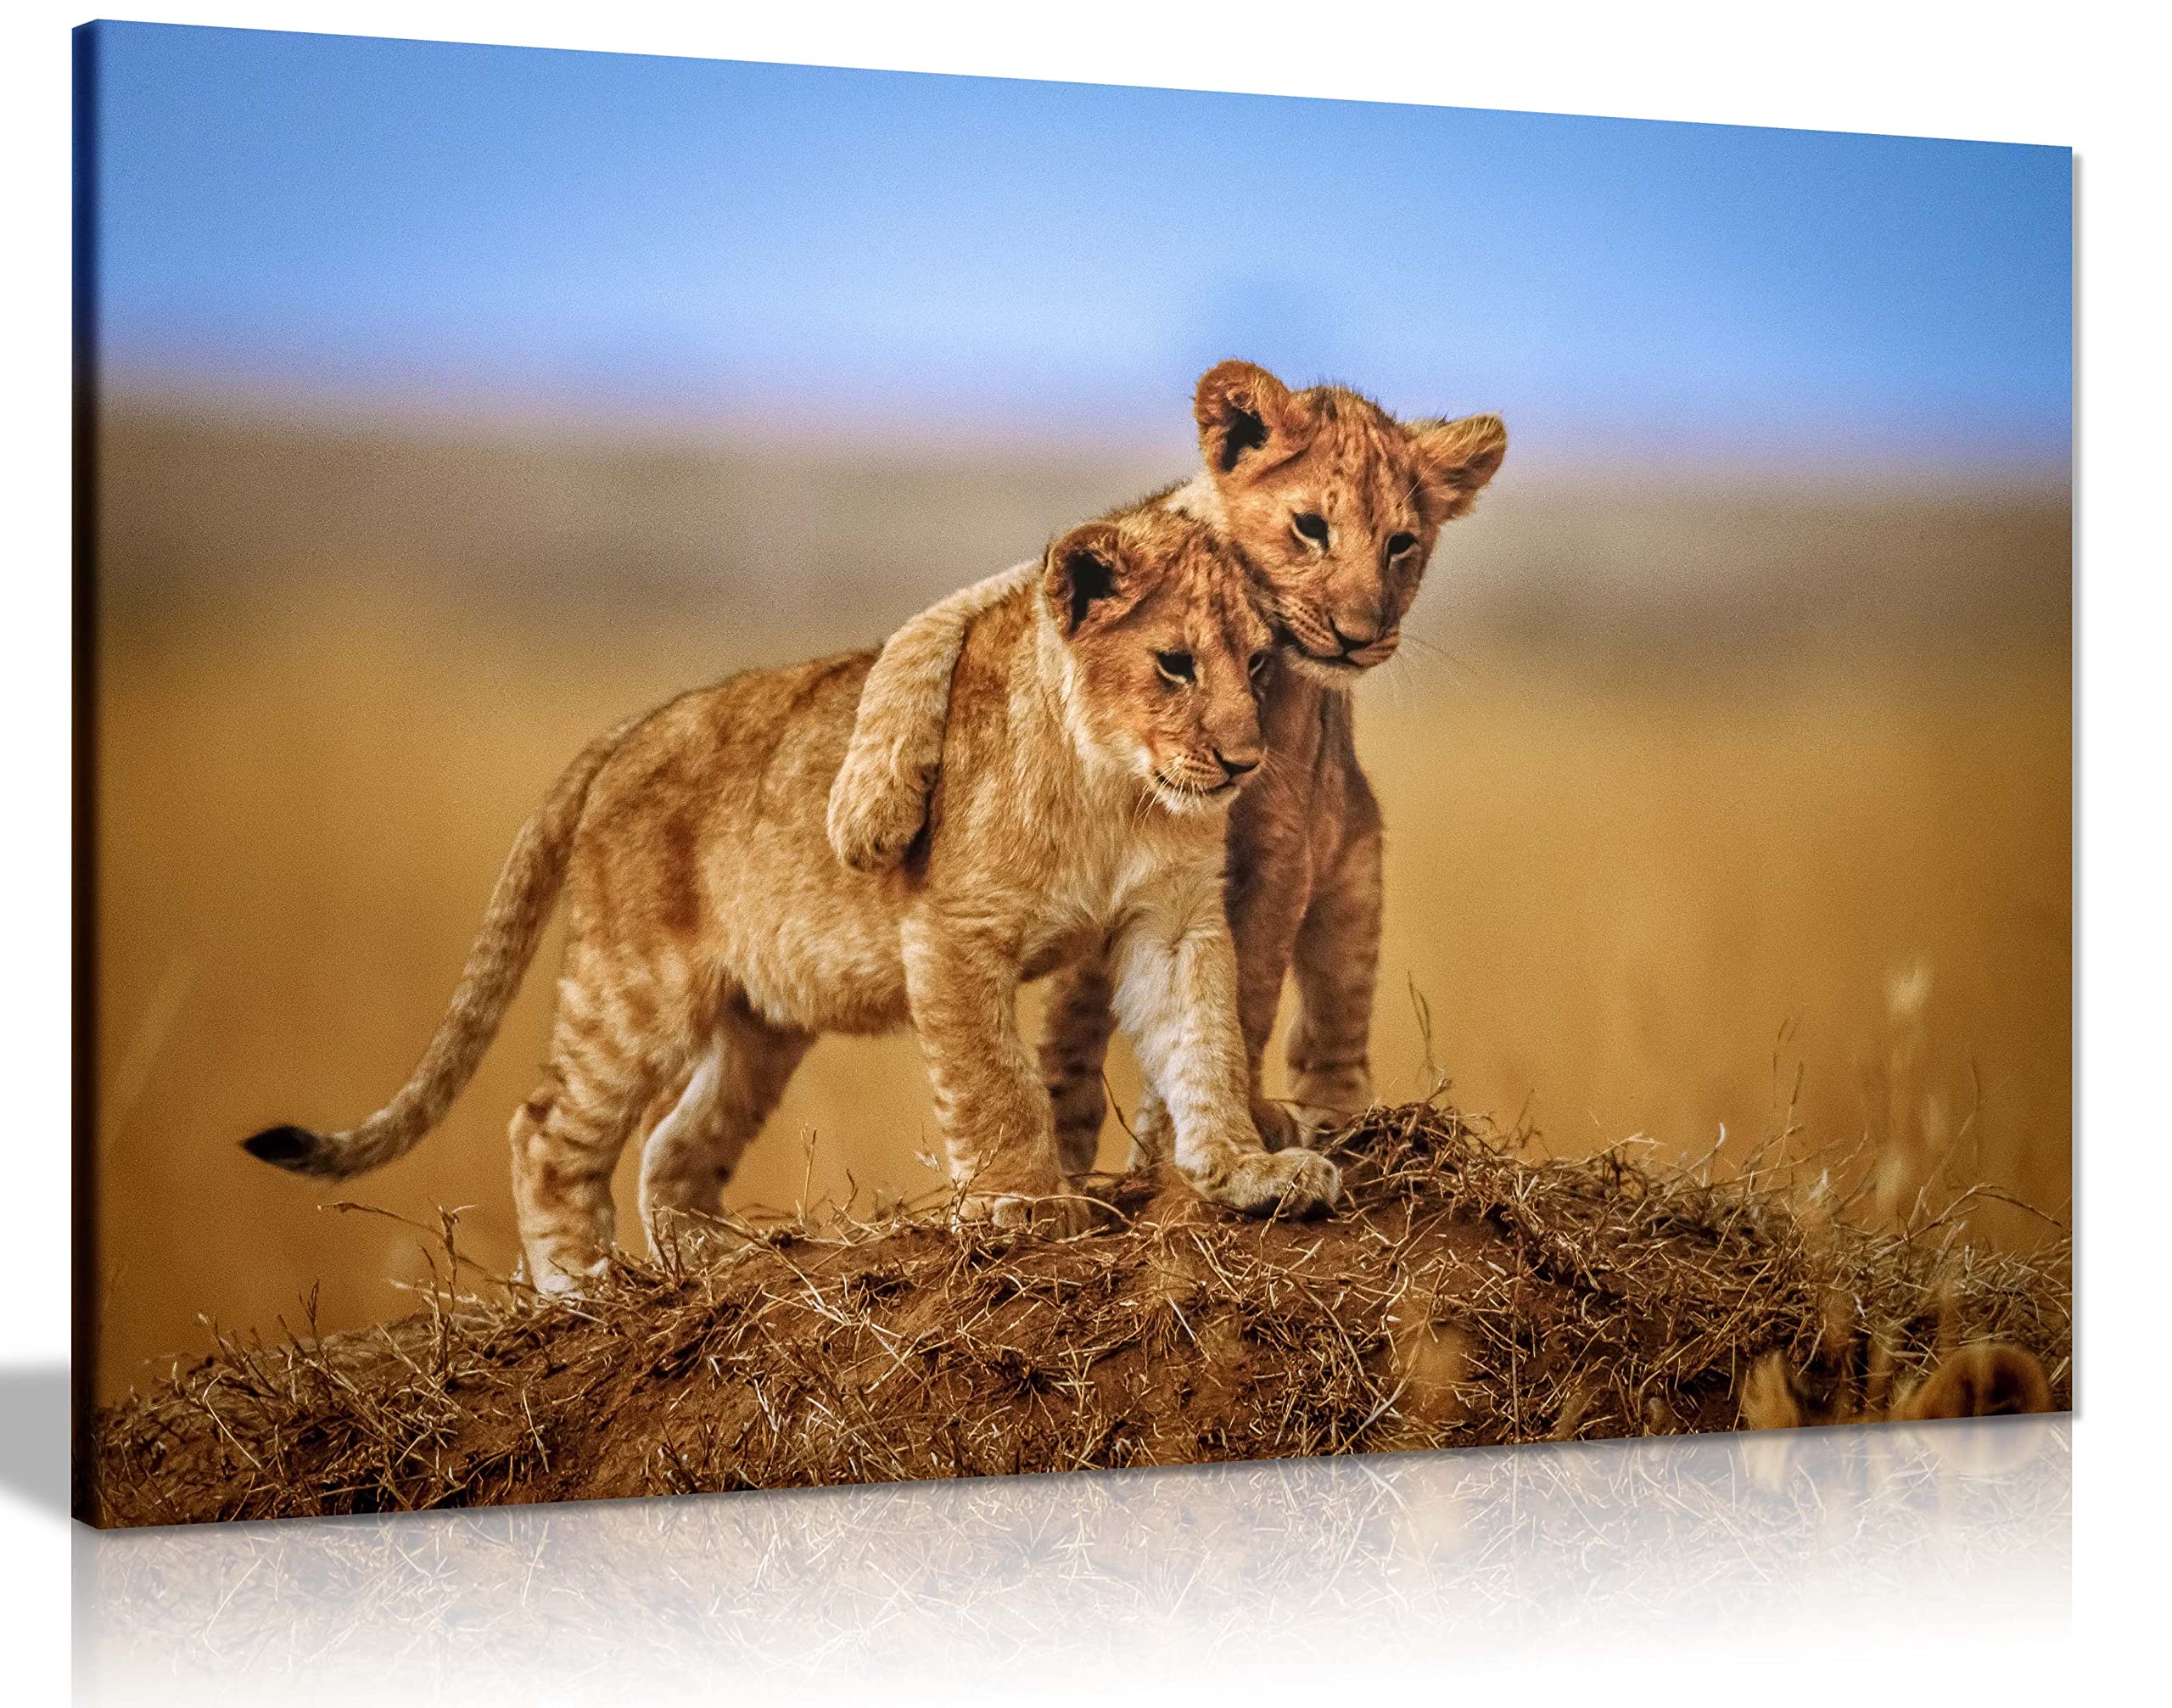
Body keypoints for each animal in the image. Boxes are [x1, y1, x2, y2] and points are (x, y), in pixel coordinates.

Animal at [242, 506, 1340, 1293]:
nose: (1244, 760)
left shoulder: (1172, 920)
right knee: (547, 1128)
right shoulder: (953, 931)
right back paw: (581, 1287)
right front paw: (1026, 1206)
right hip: (636, 990)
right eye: (1174, 664)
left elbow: (1205, 1046)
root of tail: (634, 726)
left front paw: (1248, 1173)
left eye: (1256, 663)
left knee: (674, 1146)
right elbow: (994, 1082)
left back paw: (720, 1262)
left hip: (760, 1022)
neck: (1116, 788)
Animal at [826, 360, 1507, 1165]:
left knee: (1331, 1030)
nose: (1359, 635)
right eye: (1311, 527)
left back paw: (1338, 1125)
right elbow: (926, 629)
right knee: (1074, 1024)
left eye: (1402, 544)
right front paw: (868, 811)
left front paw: (1208, 1129)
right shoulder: (1056, 581)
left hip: (1353, 874)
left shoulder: (1282, 844)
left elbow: (1246, 993)